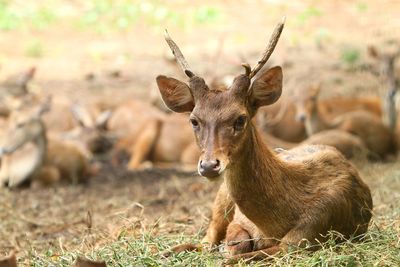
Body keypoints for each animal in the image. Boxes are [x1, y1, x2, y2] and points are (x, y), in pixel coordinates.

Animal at [155, 18, 372, 264]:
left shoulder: (309, 232)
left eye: (241, 118)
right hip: (222, 198)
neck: (271, 226)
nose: (209, 165)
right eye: (194, 120)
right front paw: (228, 247)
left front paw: (228, 252)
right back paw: (164, 251)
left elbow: (239, 256)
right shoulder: (238, 221)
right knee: (205, 240)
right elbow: (235, 243)